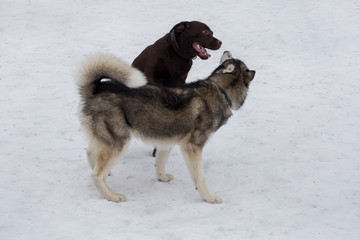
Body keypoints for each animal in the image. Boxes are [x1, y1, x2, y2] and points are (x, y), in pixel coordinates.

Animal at [77, 51, 255, 203]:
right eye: (234, 60)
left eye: (230, 58)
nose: (226, 50)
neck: (220, 90)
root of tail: (96, 90)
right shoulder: (192, 147)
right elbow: (200, 177)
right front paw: (209, 197)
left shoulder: (167, 141)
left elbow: (160, 163)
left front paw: (161, 177)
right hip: (119, 143)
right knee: (96, 175)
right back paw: (111, 195)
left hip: (106, 140)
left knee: (90, 154)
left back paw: (107, 174)